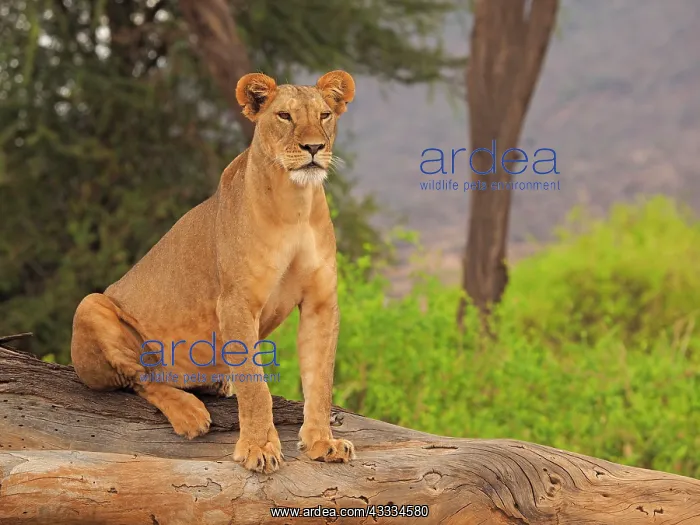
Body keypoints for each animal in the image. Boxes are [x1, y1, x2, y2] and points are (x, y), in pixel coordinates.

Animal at [70, 70, 356, 474]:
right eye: (284, 116)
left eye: (325, 115)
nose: (314, 147)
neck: (295, 205)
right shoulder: (236, 302)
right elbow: (255, 385)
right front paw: (259, 448)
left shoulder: (321, 303)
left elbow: (320, 381)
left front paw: (322, 443)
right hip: (90, 305)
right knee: (140, 378)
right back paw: (190, 414)